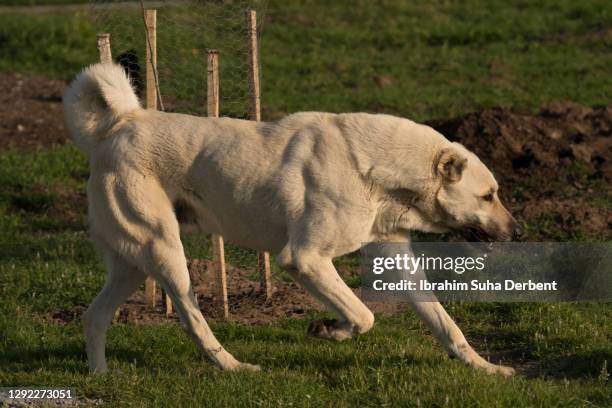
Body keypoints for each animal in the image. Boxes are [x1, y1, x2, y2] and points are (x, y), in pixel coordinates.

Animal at [62, 64, 524, 376]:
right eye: (488, 195)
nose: (519, 232)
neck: (376, 171)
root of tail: (118, 127)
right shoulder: (304, 259)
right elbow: (364, 315)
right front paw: (330, 330)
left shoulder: (395, 258)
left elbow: (446, 323)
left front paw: (484, 367)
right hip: (165, 252)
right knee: (191, 318)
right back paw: (234, 367)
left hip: (133, 264)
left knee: (94, 317)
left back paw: (100, 375)